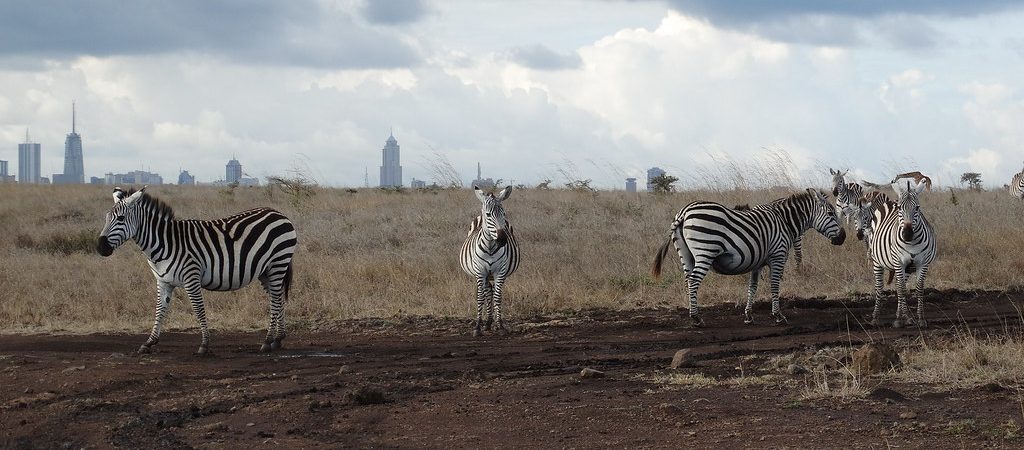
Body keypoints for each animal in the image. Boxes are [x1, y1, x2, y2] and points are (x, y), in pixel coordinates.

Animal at [96, 187, 297, 354]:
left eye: (120, 219)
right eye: (106, 218)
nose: (100, 248)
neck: (164, 244)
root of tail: (278, 213)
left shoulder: (191, 278)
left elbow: (198, 309)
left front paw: (204, 344)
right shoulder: (163, 281)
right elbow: (160, 310)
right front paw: (149, 342)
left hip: (278, 263)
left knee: (275, 300)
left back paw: (268, 340)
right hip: (265, 271)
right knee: (277, 298)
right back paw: (278, 339)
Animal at [460, 185, 520, 336]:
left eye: (503, 214)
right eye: (489, 215)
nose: (502, 240)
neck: (490, 247)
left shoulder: (500, 272)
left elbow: (498, 297)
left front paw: (500, 325)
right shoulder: (480, 272)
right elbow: (480, 297)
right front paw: (477, 327)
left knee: (491, 292)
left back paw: (490, 322)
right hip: (484, 274)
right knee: (487, 292)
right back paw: (487, 323)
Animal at [651, 189, 846, 326]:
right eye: (831, 214)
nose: (843, 237)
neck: (784, 221)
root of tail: (684, 212)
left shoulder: (757, 261)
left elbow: (753, 287)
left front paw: (749, 315)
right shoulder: (778, 256)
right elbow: (774, 285)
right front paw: (778, 316)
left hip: (686, 255)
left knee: (687, 280)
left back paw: (692, 313)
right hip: (705, 250)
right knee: (693, 281)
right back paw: (696, 318)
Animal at [867, 180, 937, 328]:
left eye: (917, 208)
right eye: (900, 208)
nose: (907, 234)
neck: (911, 243)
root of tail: (890, 201)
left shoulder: (922, 263)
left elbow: (918, 288)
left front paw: (920, 318)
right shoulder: (899, 262)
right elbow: (901, 289)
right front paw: (902, 319)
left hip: (907, 268)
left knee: (899, 283)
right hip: (877, 261)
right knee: (880, 287)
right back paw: (875, 317)